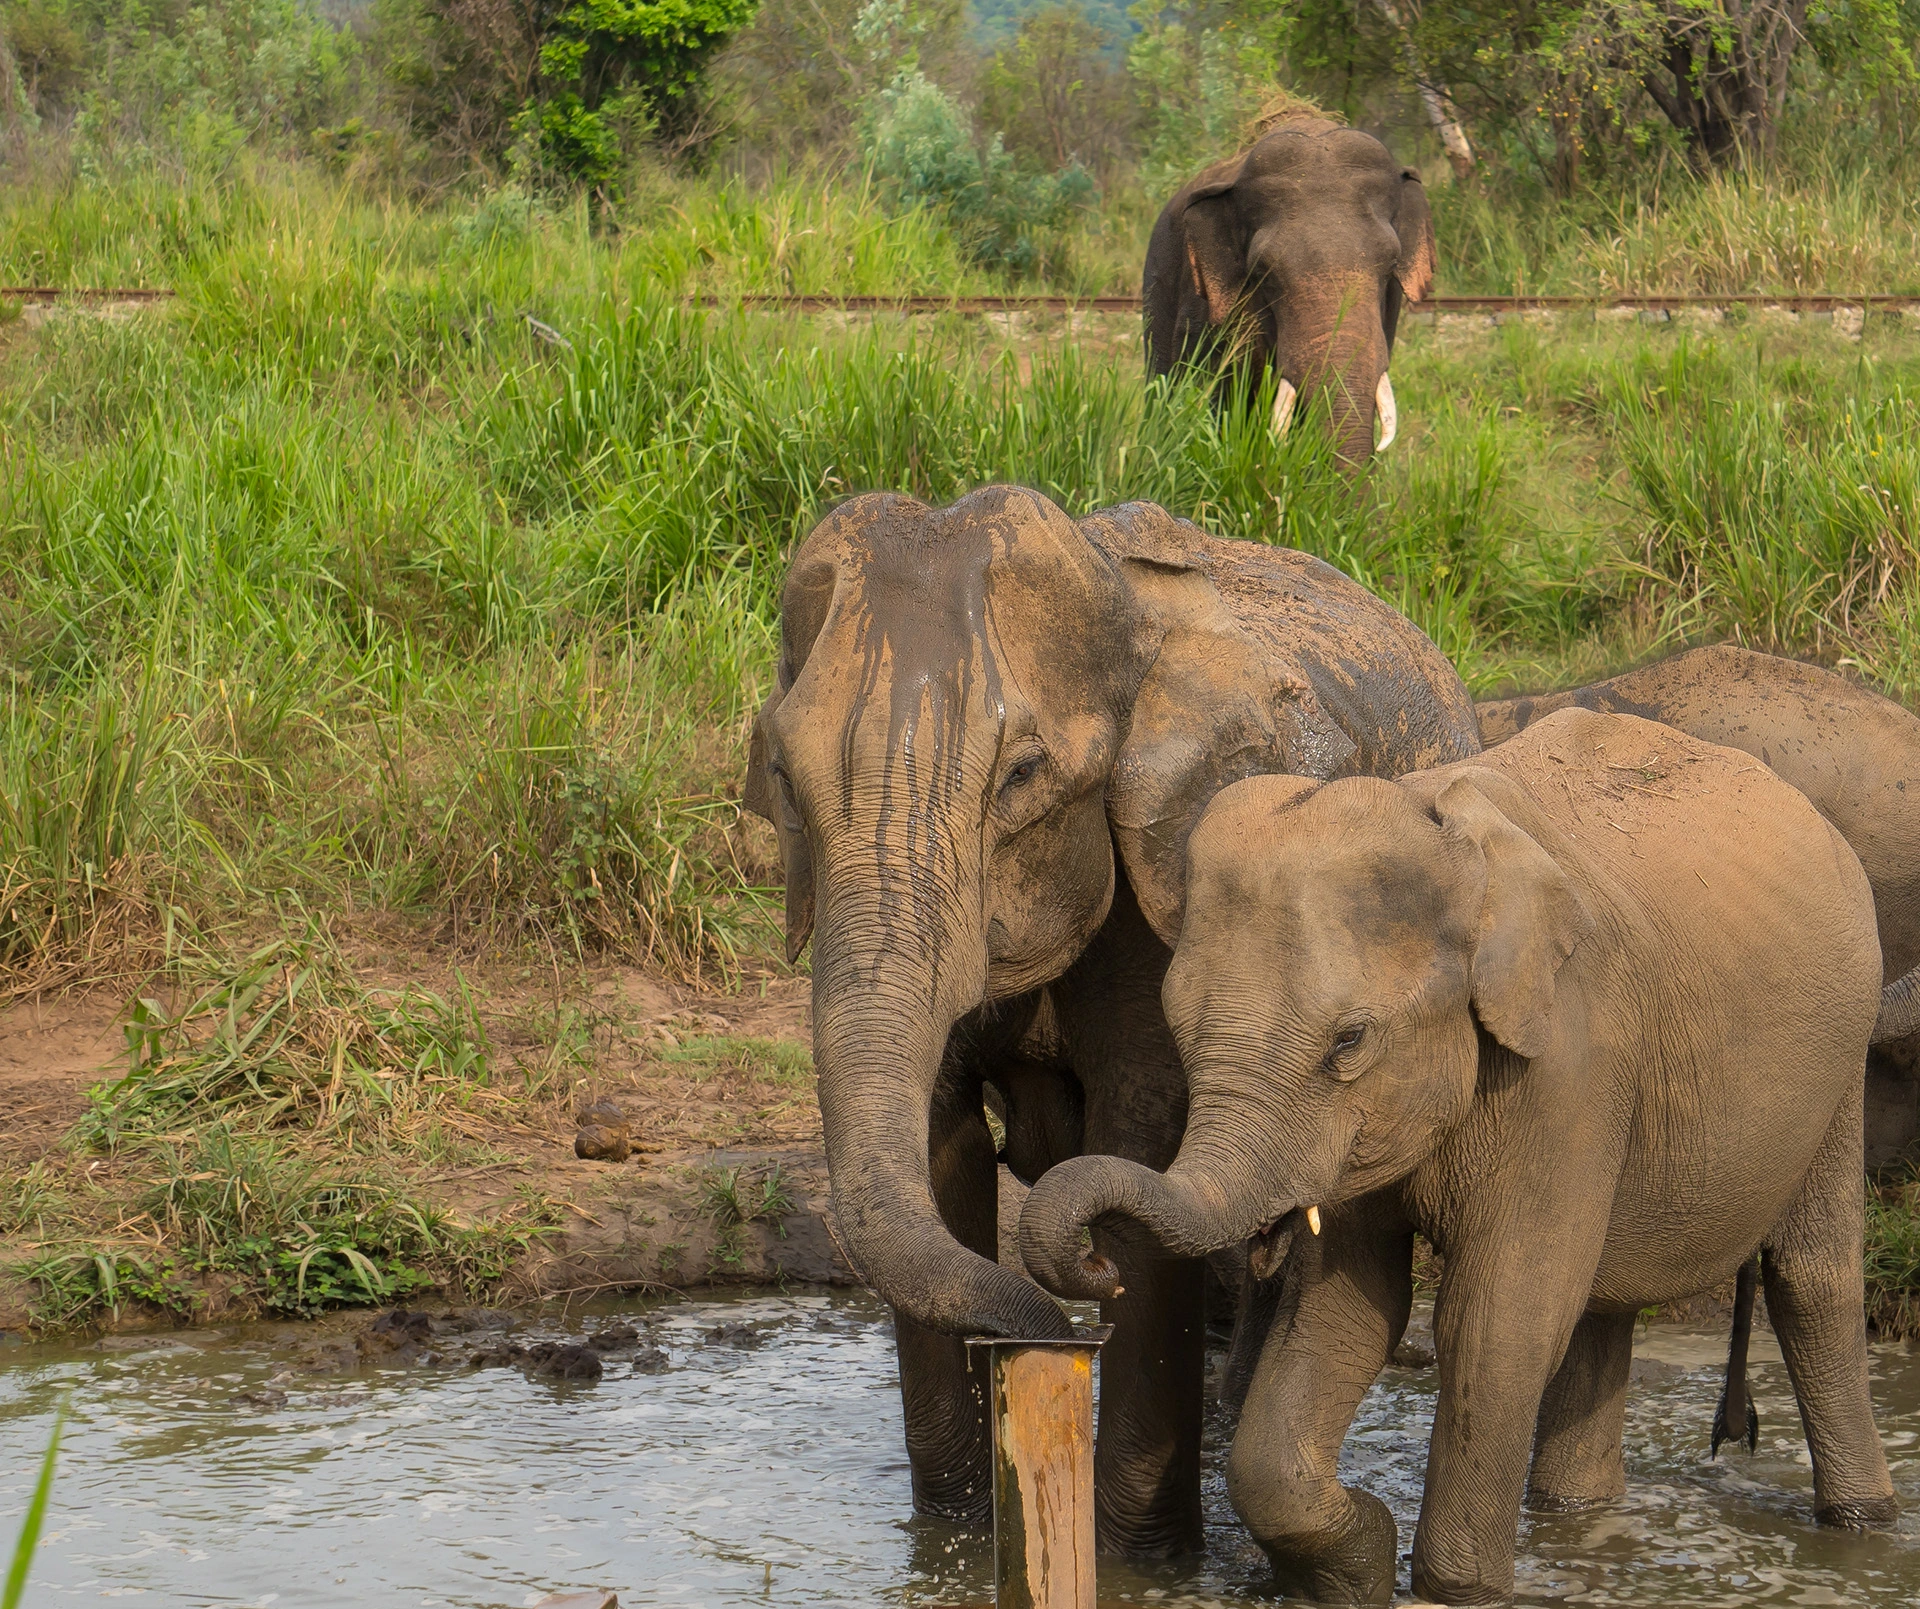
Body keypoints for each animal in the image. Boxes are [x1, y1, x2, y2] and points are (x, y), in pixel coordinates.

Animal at [743, 485, 1481, 1554]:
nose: (1062, 1317)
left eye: (1020, 777)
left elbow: (1139, 1137)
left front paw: (1145, 1561)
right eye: (783, 780)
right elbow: (938, 1155)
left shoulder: (1166, 895)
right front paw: (953, 1540)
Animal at [1021, 707, 1897, 1604]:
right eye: (1178, 1028)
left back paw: (1863, 1526)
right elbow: (1347, 1307)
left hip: (1842, 1054)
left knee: (1809, 1278)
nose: (1098, 1265)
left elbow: (1496, 1317)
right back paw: (1572, 1514)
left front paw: (1451, 1587)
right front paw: (1361, 1560)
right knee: (1606, 1295)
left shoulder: (1571, 1056)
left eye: (1348, 1041)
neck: (1448, 837)